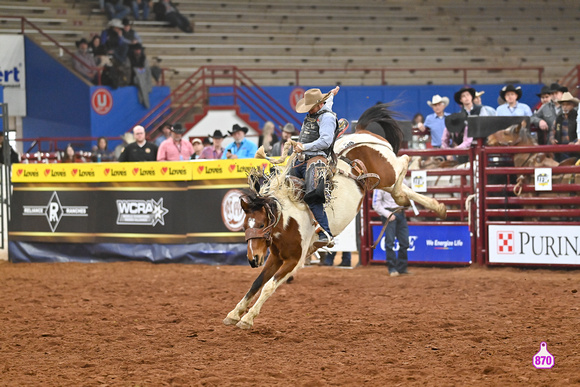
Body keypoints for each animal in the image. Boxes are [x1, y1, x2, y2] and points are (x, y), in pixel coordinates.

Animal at [224, 104, 446, 330]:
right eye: (245, 226)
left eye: (261, 224)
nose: (252, 259)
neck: (287, 220)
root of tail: (361, 132)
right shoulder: (275, 257)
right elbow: (257, 283)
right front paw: (234, 313)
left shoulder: (294, 259)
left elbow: (269, 286)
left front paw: (248, 318)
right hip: (384, 182)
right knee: (402, 190)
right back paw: (436, 207)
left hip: (387, 171)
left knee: (404, 161)